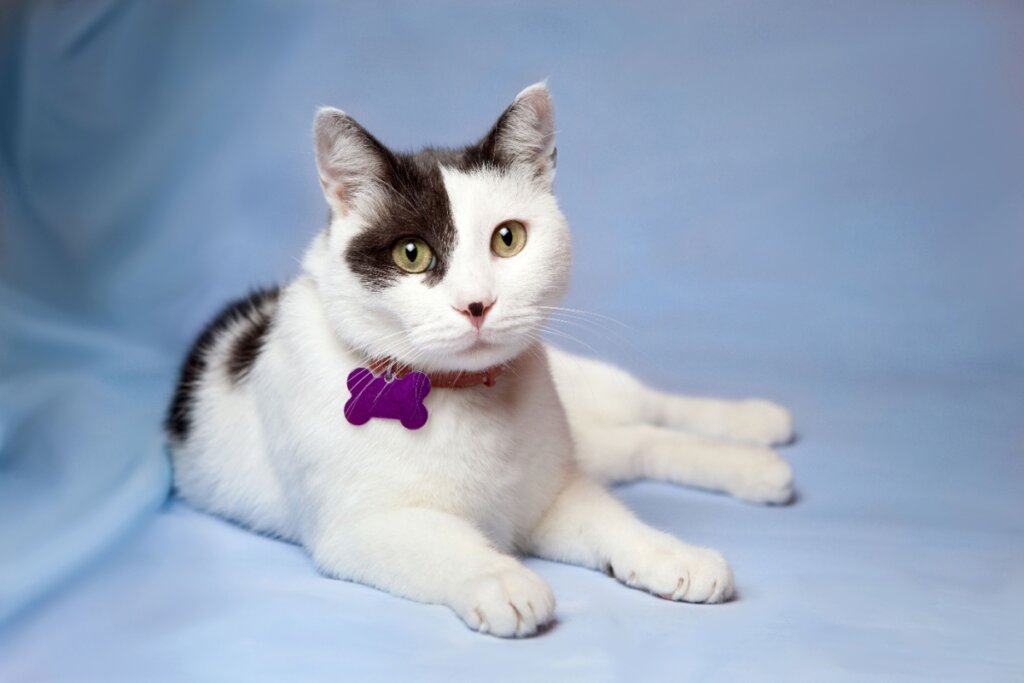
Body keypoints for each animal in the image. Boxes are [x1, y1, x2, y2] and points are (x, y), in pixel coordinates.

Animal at [167, 82, 794, 638]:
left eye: (508, 239)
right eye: (412, 254)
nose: (477, 304)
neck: (460, 395)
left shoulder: (549, 496)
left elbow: (613, 520)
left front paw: (669, 552)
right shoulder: (361, 527)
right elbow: (445, 542)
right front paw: (502, 579)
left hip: (583, 398)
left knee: (649, 411)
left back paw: (756, 429)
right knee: (635, 443)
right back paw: (758, 464)